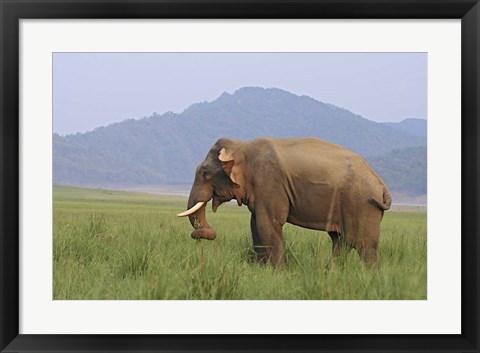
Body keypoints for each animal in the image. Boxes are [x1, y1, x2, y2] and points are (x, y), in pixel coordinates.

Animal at [178, 136, 392, 266]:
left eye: (205, 173)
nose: (198, 236)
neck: (243, 146)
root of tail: (381, 184)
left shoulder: (269, 182)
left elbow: (267, 224)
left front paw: (278, 272)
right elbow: (255, 224)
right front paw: (261, 269)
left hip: (362, 205)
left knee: (363, 246)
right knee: (340, 241)